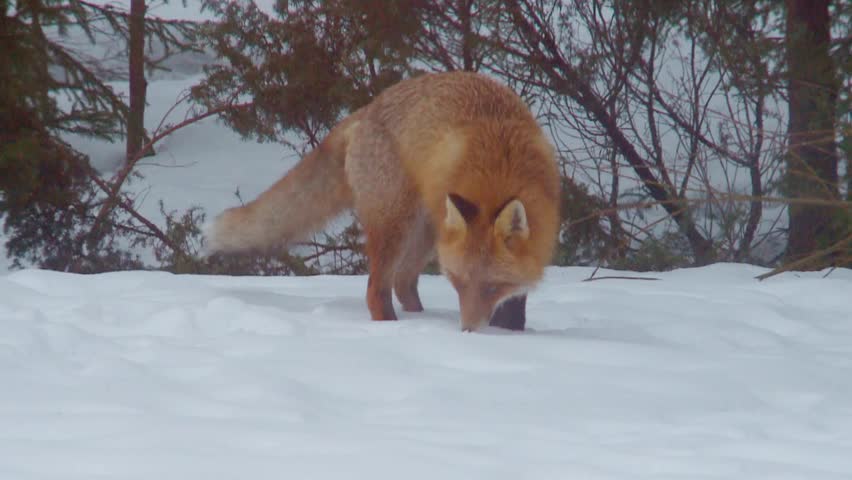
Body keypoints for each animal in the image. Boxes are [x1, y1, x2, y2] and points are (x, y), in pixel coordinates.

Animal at [204, 71, 561, 332]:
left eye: (491, 287)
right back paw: (391, 328)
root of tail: (366, 110)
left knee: (404, 283)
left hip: (426, 231)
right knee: (377, 289)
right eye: (458, 284)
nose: (468, 332)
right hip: (396, 224)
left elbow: (516, 302)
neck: (498, 168)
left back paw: (418, 315)